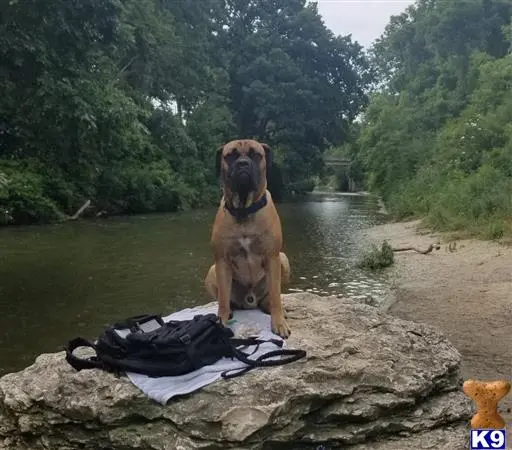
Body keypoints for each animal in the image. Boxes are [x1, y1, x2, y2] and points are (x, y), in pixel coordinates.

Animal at [204, 138, 292, 338]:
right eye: (230, 156)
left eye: (255, 155)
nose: (243, 164)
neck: (244, 209)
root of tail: (249, 301)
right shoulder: (222, 260)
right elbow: (222, 298)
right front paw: (221, 320)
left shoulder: (273, 257)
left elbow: (276, 295)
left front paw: (278, 323)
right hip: (212, 270)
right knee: (226, 299)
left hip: (283, 259)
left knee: (270, 297)